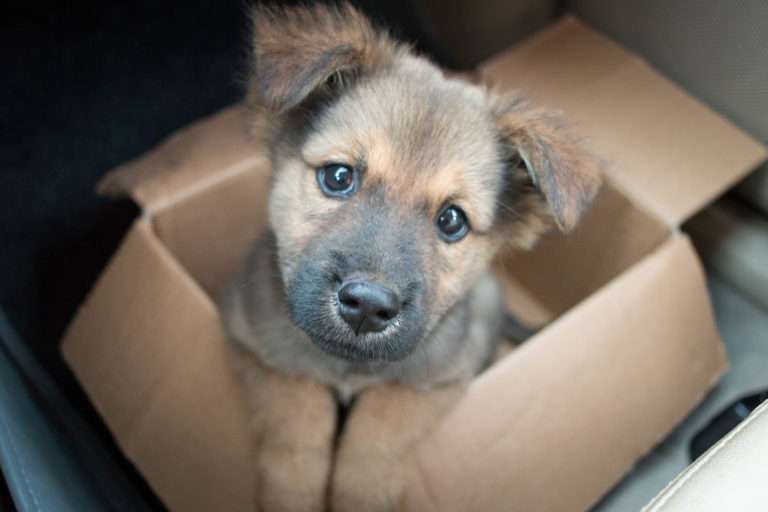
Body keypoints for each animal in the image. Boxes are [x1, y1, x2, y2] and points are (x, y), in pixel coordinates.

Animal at [219, 4, 604, 512]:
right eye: (338, 176)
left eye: (452, 220)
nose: (367, 306)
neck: (351, 368)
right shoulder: (253, 343)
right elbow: (296, 419)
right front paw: (293, 493)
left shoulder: (440, 378)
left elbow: (379, 431)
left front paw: (361, 496)